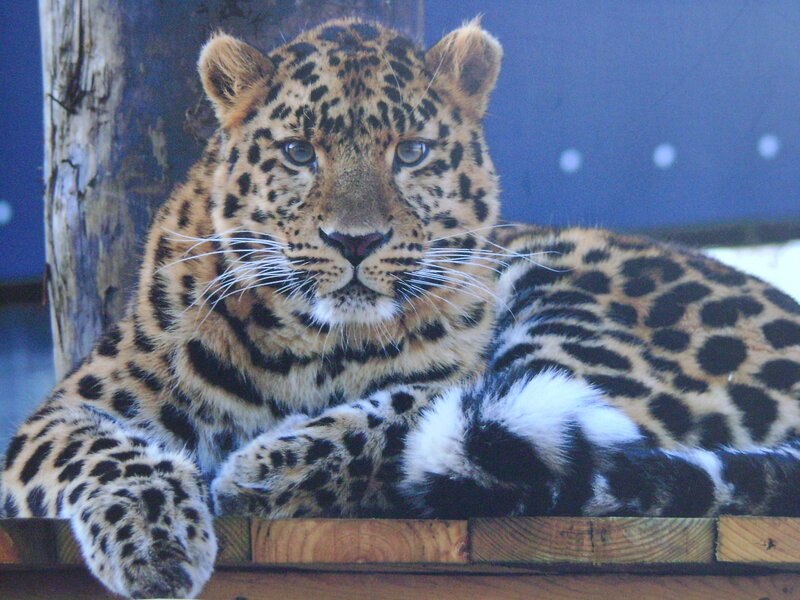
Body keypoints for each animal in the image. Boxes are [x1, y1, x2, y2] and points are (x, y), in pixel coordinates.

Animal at [3, 16, 800, 599]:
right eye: (298, 152)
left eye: (412, 152)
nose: (355, 241)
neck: (313, 345)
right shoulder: (62, 413)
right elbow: (105, 451)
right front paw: (154, 541)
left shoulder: (461, 369)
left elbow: (408, 403)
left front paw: (262, 468)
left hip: (571, 295)